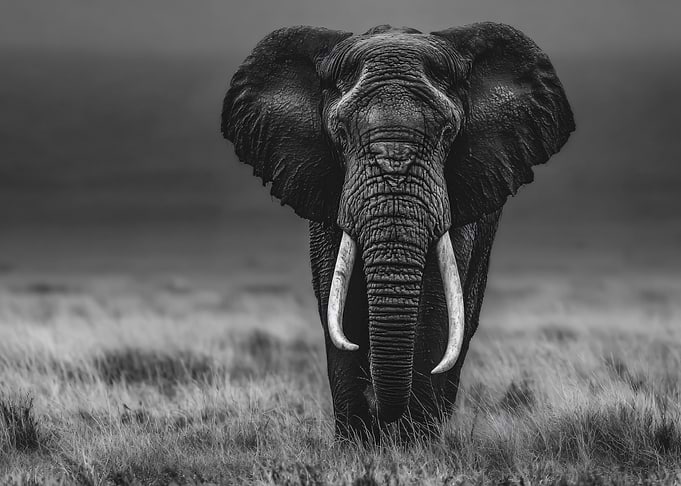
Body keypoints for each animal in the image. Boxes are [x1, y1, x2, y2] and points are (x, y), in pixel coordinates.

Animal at [221, 22, 574, 440]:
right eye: (341, 133)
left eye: (447, 133)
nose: (379, 409)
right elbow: (337, 303)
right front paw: (357, 444)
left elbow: (435, 308)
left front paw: (415, 443)